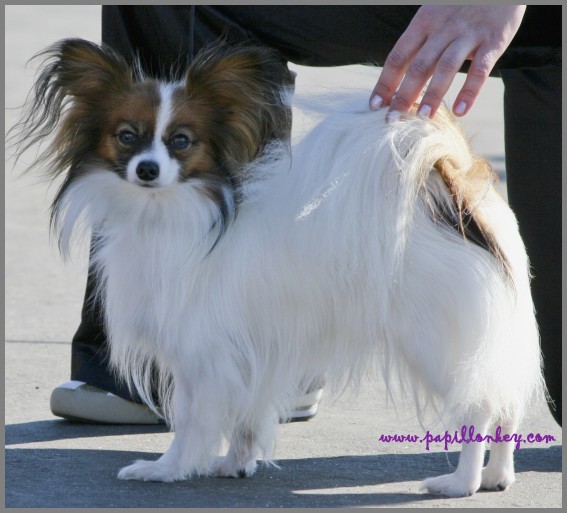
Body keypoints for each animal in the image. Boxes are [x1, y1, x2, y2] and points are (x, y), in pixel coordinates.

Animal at [12, 39, 544, 496]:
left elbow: (192, 420)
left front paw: (168, 468)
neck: (176, 213)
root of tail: (459, 188)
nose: (146, 169)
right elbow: (247, 418)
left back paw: (461, 483)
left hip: (436, 343)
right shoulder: (251, 352)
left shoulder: (202, 353)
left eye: (181, 141)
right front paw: (235, 464)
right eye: (126, 137)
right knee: (507, 405)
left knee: (480, 406)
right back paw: (498, 477)